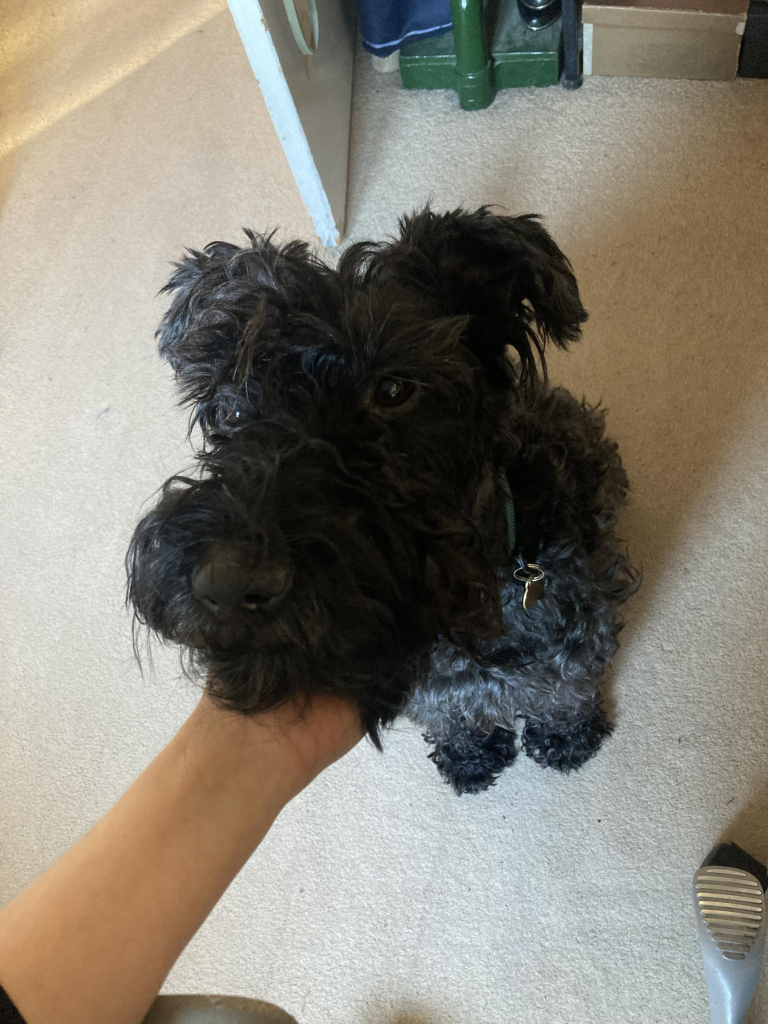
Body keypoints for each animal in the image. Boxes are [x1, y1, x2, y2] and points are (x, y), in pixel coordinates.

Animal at [128, 207, 643, 794]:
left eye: (394, 390)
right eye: (230, 407)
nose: (228, 582)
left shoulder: (574, 649)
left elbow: (564, 696)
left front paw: (566, 738)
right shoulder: (437, 691)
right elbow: (455, 715)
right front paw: (470, 756)